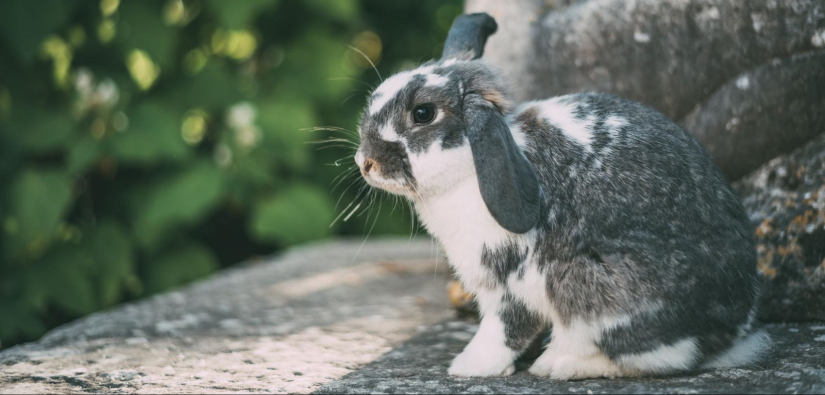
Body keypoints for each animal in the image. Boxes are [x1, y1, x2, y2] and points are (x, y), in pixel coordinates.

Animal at [350, 13, 768, 380]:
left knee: (657, 357)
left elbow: (503, 330)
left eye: (423, 113)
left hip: (586, 286)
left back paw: (560, 365)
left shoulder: (508, 284)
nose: (365, 162)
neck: (469, 165)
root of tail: (729, 334)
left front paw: (468, 367)